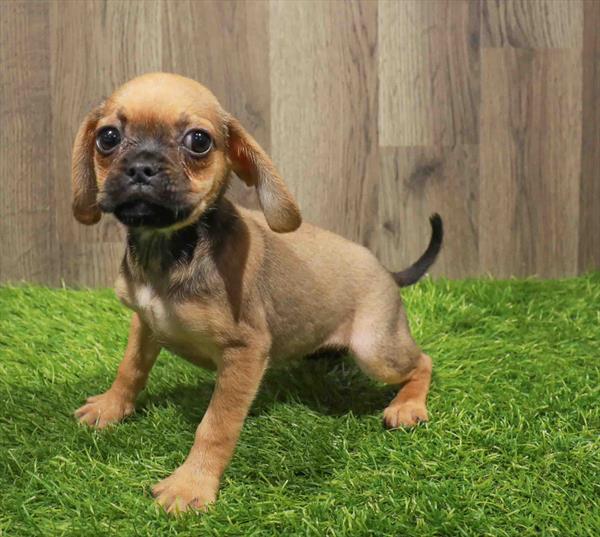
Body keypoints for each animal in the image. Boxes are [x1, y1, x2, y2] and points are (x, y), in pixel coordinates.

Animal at [72, 72, 442, 510]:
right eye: (108, 137)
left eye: (199, 141)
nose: (141, 167)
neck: (169, 248)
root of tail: (386, 271)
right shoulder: (144, 324)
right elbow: (130, 368)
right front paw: (112, 407)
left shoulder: (244, 353)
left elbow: (215, 425)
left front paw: (192, 484)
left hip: (376, 350)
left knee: (423, 363)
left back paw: (408, 406)